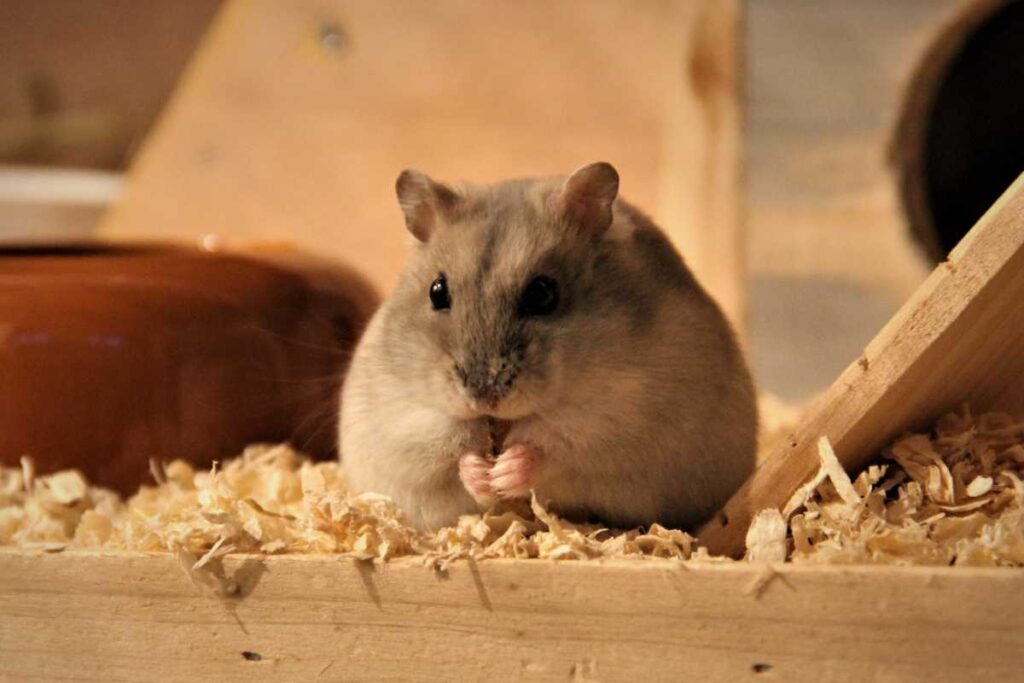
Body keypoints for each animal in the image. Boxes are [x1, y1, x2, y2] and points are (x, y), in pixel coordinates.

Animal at [339, 162, 757, 531]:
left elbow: (553, 445)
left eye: (543, 293)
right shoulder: (399, 419)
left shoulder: (622, 419)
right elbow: (448, 448)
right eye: (436, 291)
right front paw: (483, 475)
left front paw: (505, 473)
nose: (483, 397)